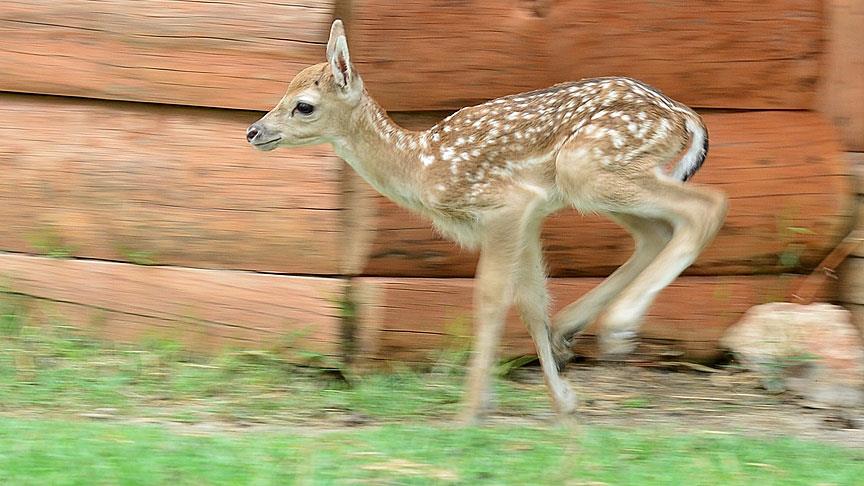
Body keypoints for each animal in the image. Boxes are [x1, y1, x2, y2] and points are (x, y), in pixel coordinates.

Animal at [246, 19, 728, 424]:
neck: (420, 166)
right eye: (281, 94)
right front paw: (562, 400)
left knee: (708, 205)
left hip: (590, 166)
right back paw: (572, 329)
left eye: (304, 106)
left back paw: (619, 326)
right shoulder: (530, 218)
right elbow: (531, 302)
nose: (254, 131)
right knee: (656, 232)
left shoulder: (505, 205)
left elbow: (491, 300)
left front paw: (469, 412)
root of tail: (685, 116)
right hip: (597, 181)